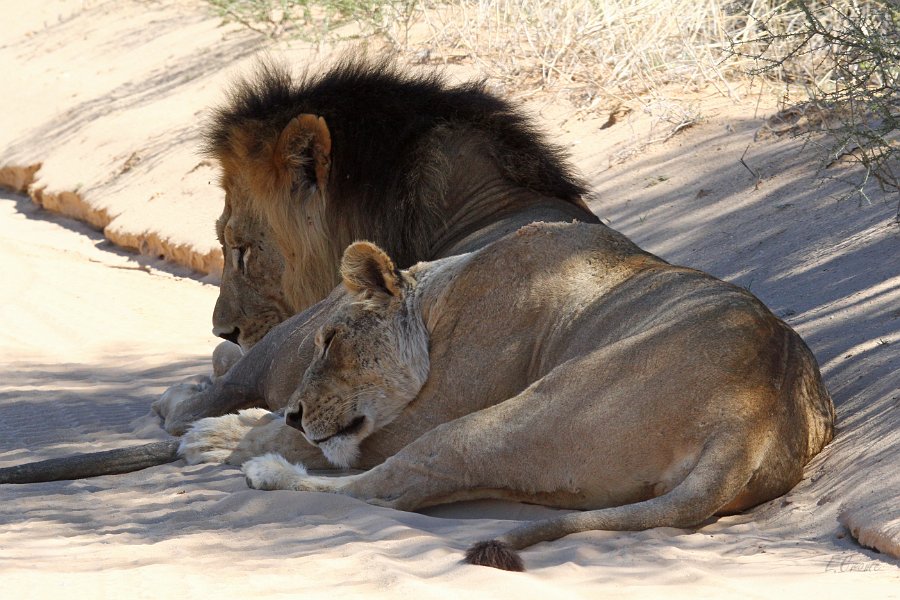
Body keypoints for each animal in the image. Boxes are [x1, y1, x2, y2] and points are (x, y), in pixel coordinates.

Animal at [234, 223, 836, 568]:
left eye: (330, 340)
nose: (294, 413)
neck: (439, 298)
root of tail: (751, 416)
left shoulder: (445, 403)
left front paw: (243, 440)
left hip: (503, 419)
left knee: (386, 492)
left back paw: (268, 474)